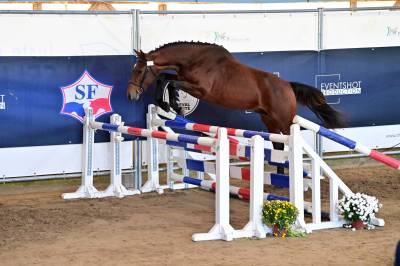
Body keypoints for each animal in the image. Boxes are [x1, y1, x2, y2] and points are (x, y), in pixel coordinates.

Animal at [127, 41, 344, 171]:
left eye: (140, 71)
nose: (130, 95)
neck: (195, 60)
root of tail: (287, 85)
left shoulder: (201, 90)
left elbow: (170, 82)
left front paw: (172, 104)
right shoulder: (183, 78)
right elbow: (165, 77)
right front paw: (165, 103)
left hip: (284, 121)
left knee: (288, 143)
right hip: (269, 121)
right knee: (278, 146)